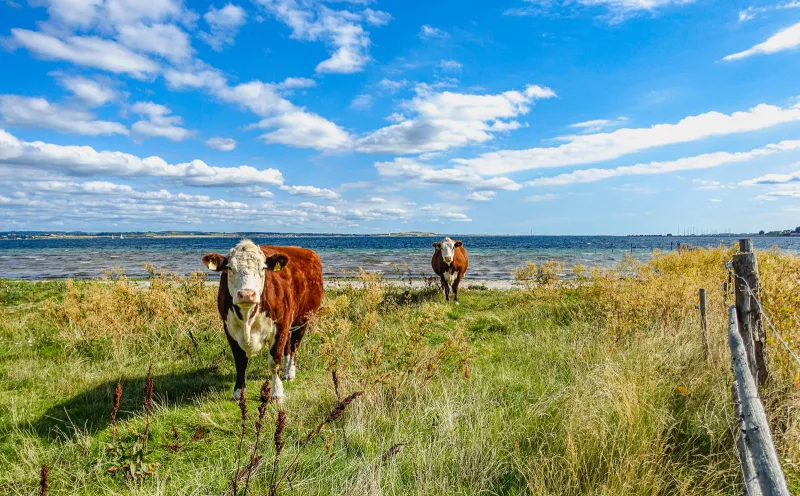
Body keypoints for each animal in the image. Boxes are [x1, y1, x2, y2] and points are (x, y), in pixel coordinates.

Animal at [202, 239, 323, 402]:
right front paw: (238, 393)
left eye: (263, 268)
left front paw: (277, 393)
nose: (247, 294)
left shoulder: (280, 326)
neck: (247, 318)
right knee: (288, 347)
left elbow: (274, 361)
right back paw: (286, 370)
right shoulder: (230, 330)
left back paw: (290, 373)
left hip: (303, 319)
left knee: (294, 346)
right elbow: (240, 362)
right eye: (230, 268)